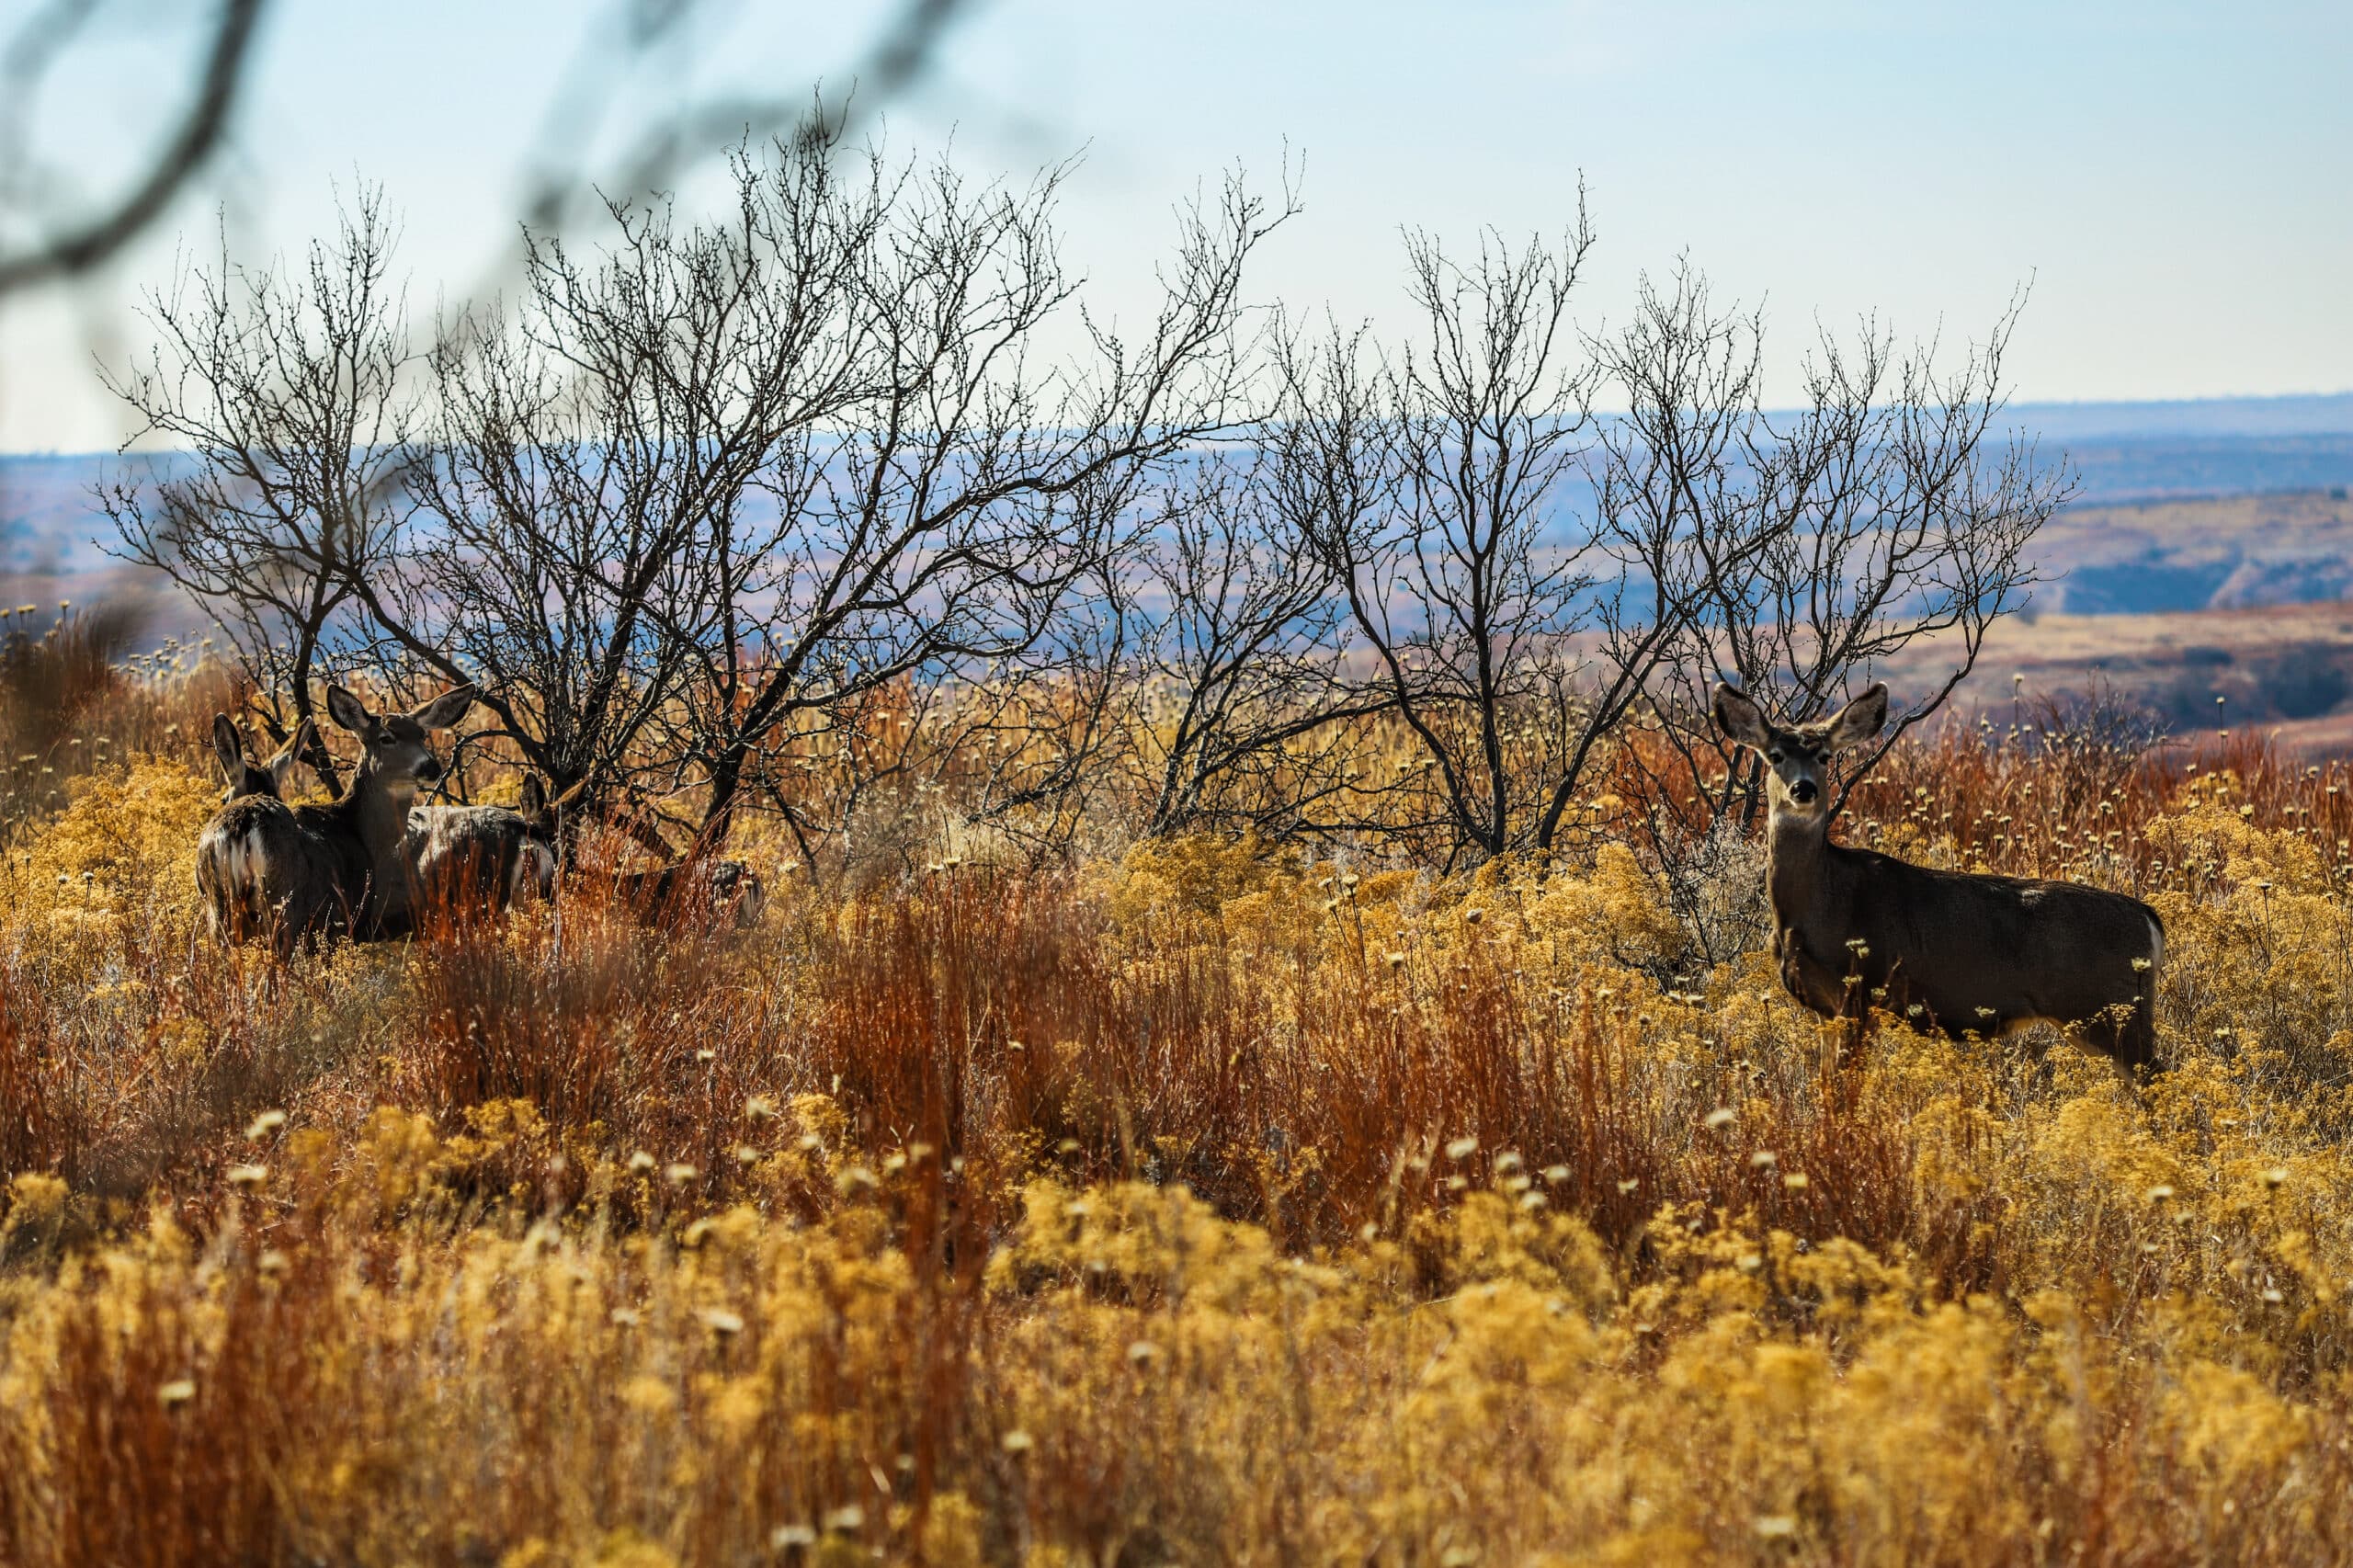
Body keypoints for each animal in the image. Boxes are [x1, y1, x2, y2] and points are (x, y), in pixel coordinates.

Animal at [195, 684, 478, 955]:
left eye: (421, 735)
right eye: (386, 738)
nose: (431, 767)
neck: (360, 832)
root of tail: (241, 825)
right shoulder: (343, 920)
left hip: (218, 904)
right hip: (283, 903)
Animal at [1712, 681, 2166, 1072]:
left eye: (1825, 756)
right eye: (1774, 755)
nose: (1803, 789)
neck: (1813, 906)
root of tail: (2149, 920)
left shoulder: (1861, 992)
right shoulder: (1826, 1009)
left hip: (2107, 1009)